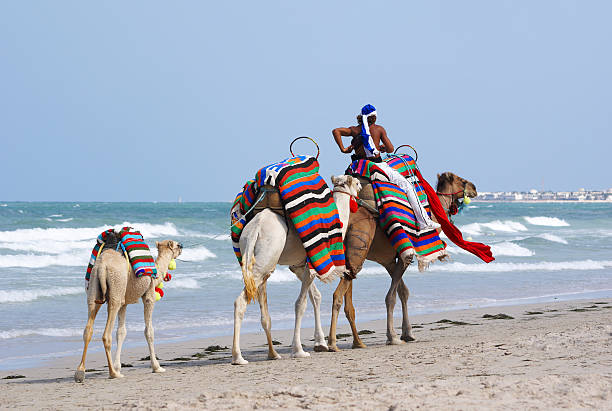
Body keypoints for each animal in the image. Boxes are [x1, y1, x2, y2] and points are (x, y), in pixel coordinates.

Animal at [74, 238, 182, 384]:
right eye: (177, 245)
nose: (182, 247)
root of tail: (102, 266)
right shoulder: (149, 295)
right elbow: (149, 331)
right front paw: (157, 367)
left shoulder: (124, 304)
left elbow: (121, 332)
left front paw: (118, 366)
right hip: (116, 289)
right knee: (106, 334)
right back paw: (113, 374)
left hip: (94, 289)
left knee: (88, 330)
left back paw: (80, 373)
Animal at [232, 175, 360, 366]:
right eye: (357, 183)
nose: (360, 188)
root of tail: (256, 228)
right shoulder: (311, 265)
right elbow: (301, 303)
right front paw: (299, 350)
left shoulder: (300, 266)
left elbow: (315, 297)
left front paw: (320, 343)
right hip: (266, 258)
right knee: (241, 301)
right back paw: (238, 357)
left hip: (254, 255)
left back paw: (272, 354)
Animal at [328, 172, 480, 352]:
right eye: (461, 181)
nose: (474, 188)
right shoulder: (404, 256)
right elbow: (392, 296)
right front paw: (393, 337)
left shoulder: (389, 261)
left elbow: (403, 292)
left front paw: (408, 333)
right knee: (338, 295)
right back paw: (331, 344)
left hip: (349, 258)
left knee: (347, 298)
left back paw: (357, 342)